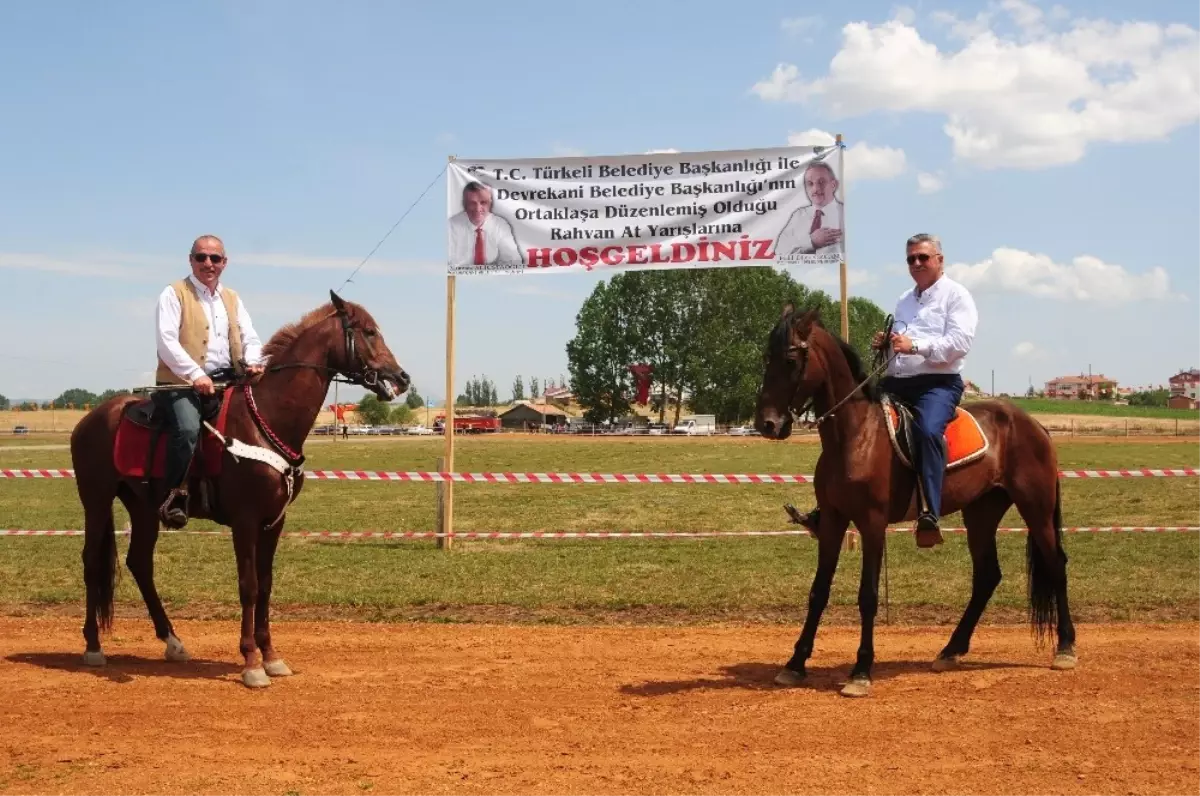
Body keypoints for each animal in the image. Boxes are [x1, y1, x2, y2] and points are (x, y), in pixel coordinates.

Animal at [70, 289, 410, 686]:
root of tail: (91, 418)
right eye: (369, 332)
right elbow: (248, 586)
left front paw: (271, 656)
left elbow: (265, 585)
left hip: (143, 508)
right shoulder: (245, 521)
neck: (266, 417)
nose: (401, 377)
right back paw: (93, 646)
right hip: (96, 499)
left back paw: (173, 641)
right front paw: (251, 662)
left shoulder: (274, 522)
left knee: (139, 562)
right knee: (92, 562)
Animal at [753, 304, 1075, 696]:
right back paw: (951, 650)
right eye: (766, 357)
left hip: (1036, 508)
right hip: (981, 513)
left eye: (790, 359)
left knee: (1056, 565)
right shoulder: (832, 520)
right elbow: (818, 592)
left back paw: (1065, 648)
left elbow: (868, 596)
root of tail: (1035, 425)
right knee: (987, 576)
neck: (855, 435)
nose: (767, 424)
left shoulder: (872, 524)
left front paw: (861, 671)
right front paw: (795, 663)